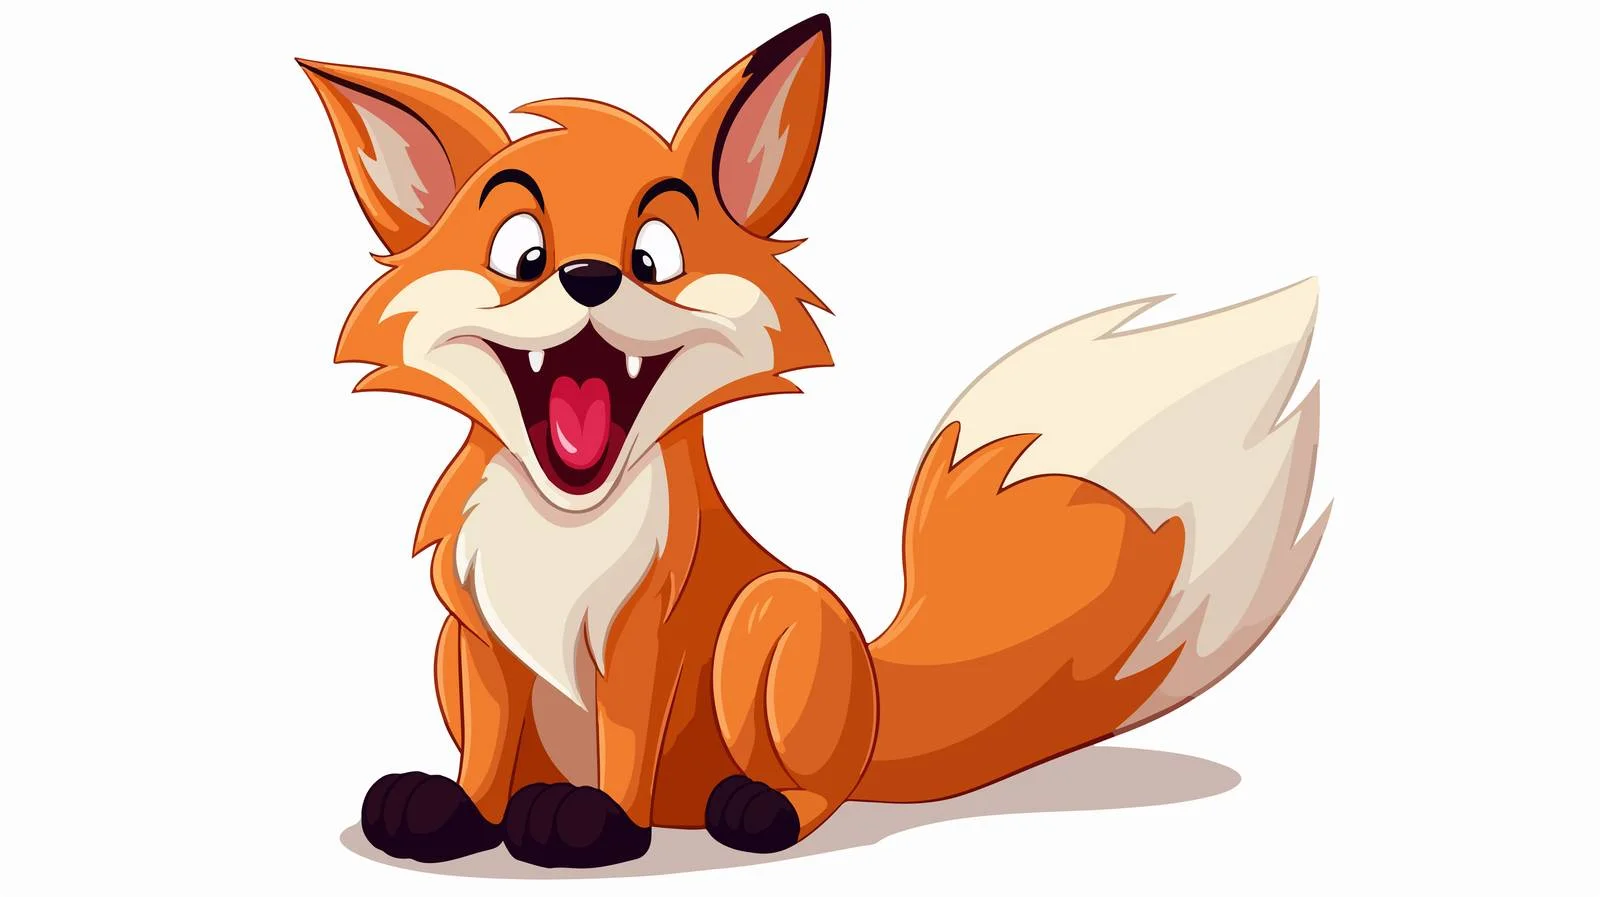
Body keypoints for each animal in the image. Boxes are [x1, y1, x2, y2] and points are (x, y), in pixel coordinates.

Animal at [300, 13, 1327, 869]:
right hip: (446, 648)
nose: (591, 277)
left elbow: (623, 744)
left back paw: (748, 807)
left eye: (652, 259)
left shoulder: (645, 633)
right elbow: (485, 745)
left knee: (814, 789)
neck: (563, 528)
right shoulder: (478, 633)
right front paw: (462, 812)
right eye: (523, 255)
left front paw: (595, 824)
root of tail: (874, 691)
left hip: (777, 614)